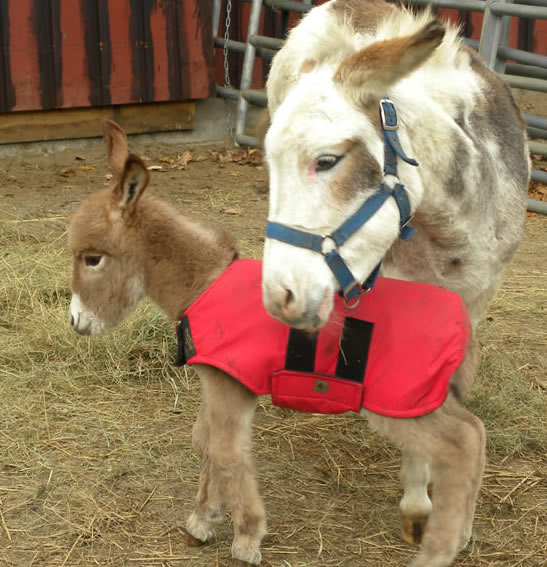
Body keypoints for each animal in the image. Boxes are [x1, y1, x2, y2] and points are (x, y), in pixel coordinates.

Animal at [68, 120, 486, 567]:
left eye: (92, 259)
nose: (76, 322)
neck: (205, 283)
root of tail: (462, 322)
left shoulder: (231, 386)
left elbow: (228, 453)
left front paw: (247, 538)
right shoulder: (218, 381)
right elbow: (206, 443)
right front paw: (203, 521)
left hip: (398, 402)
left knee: (460, 445)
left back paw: (436, 552)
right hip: (425, 398)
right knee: (474, 432)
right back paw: (463, 533)